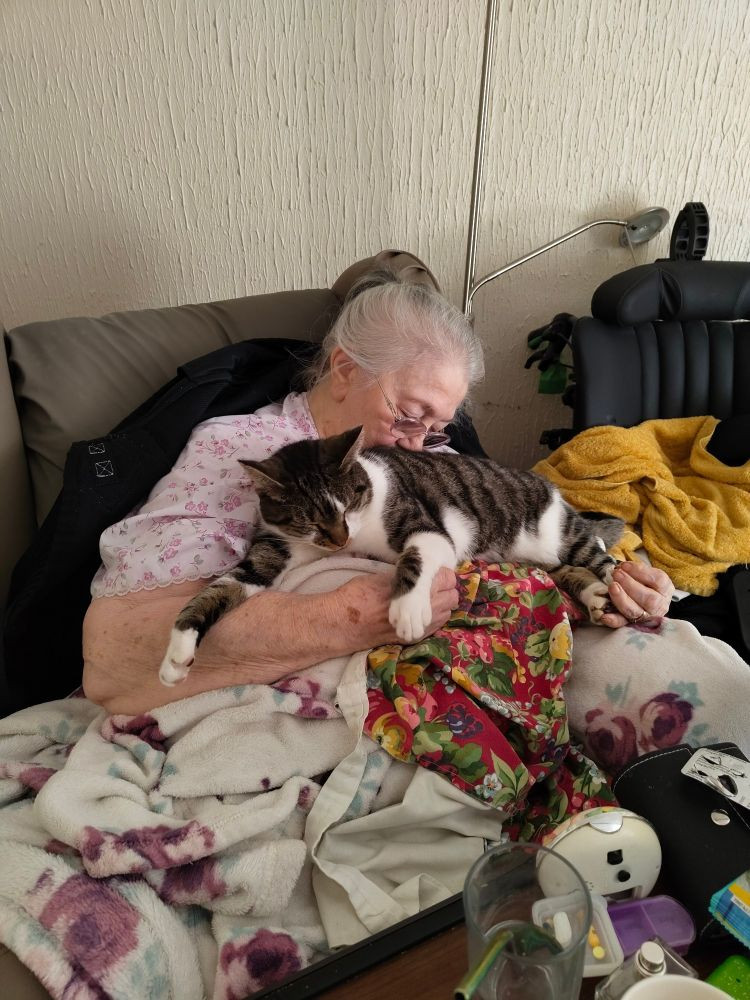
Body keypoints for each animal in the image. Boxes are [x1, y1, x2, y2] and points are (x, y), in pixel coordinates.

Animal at [159, 426, 624, 684]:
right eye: (310, 521)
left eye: (347, 506)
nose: (339, 541)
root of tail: (548, 485)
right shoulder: (275, 547)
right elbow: (219, 589)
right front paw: (176, 655)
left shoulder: (430, 528)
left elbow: (415, 558)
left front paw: (408, 610)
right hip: (534, 554)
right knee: (562, 568)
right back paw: (594, 596)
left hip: (552, 531)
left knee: (597, 551)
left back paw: (617, 590)